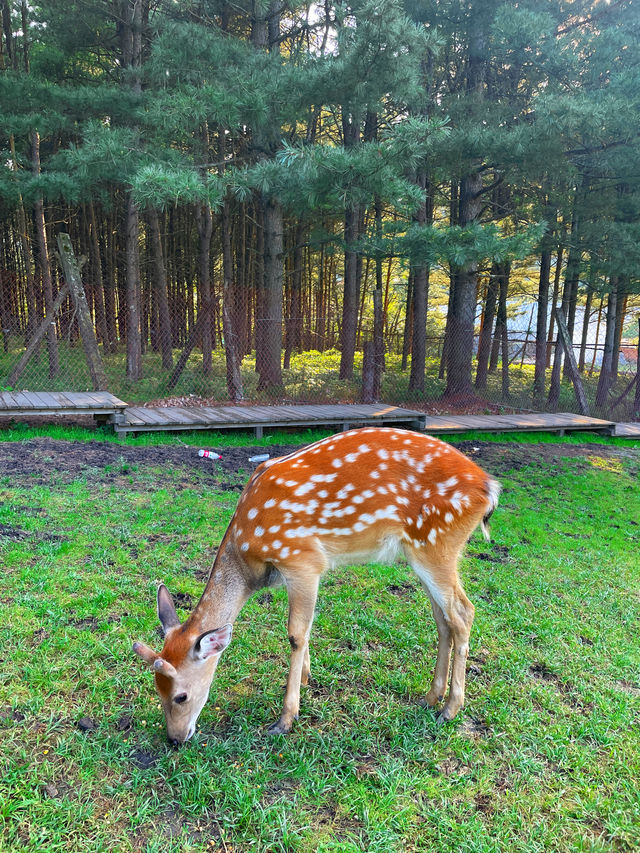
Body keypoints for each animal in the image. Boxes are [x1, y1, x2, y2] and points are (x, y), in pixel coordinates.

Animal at [131, 426, 500, 740]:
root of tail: (489, 489)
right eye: (156, 689)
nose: (175, 739)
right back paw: (430, 697)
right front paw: (307, 679)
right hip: (424, 553)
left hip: (437, 545)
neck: (251, 561)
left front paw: (286, 718)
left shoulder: (302, 560)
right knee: (443, 619)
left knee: (463, 613)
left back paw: (451, 709)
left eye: (181, 695)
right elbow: (305, 631)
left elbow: (296, 633)